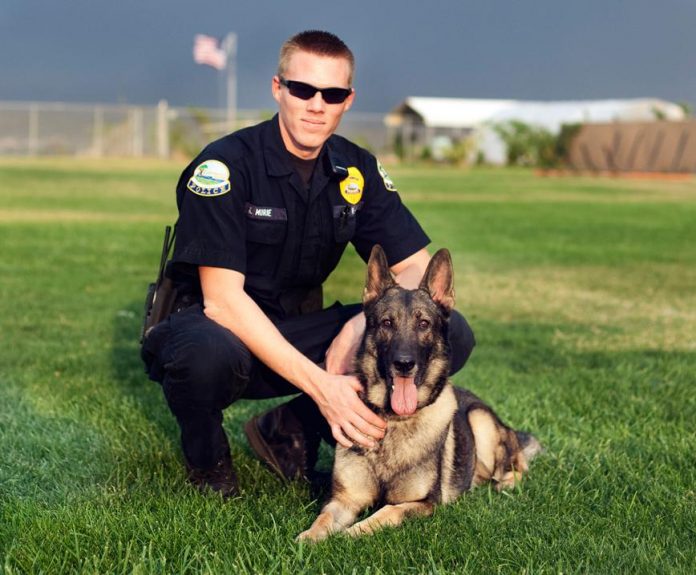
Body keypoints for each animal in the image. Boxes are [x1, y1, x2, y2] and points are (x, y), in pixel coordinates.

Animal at [296, 245, 540, 544]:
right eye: (387, 323)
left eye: (424, 324)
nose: (404, 364)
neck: (394, 422)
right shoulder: (344, 499)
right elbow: (324, 518)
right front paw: (308, 539)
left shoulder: (423, 503)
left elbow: (386, 512)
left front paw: (351, 534)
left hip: (480, 420)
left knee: (516, 466)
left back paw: (504, 482)